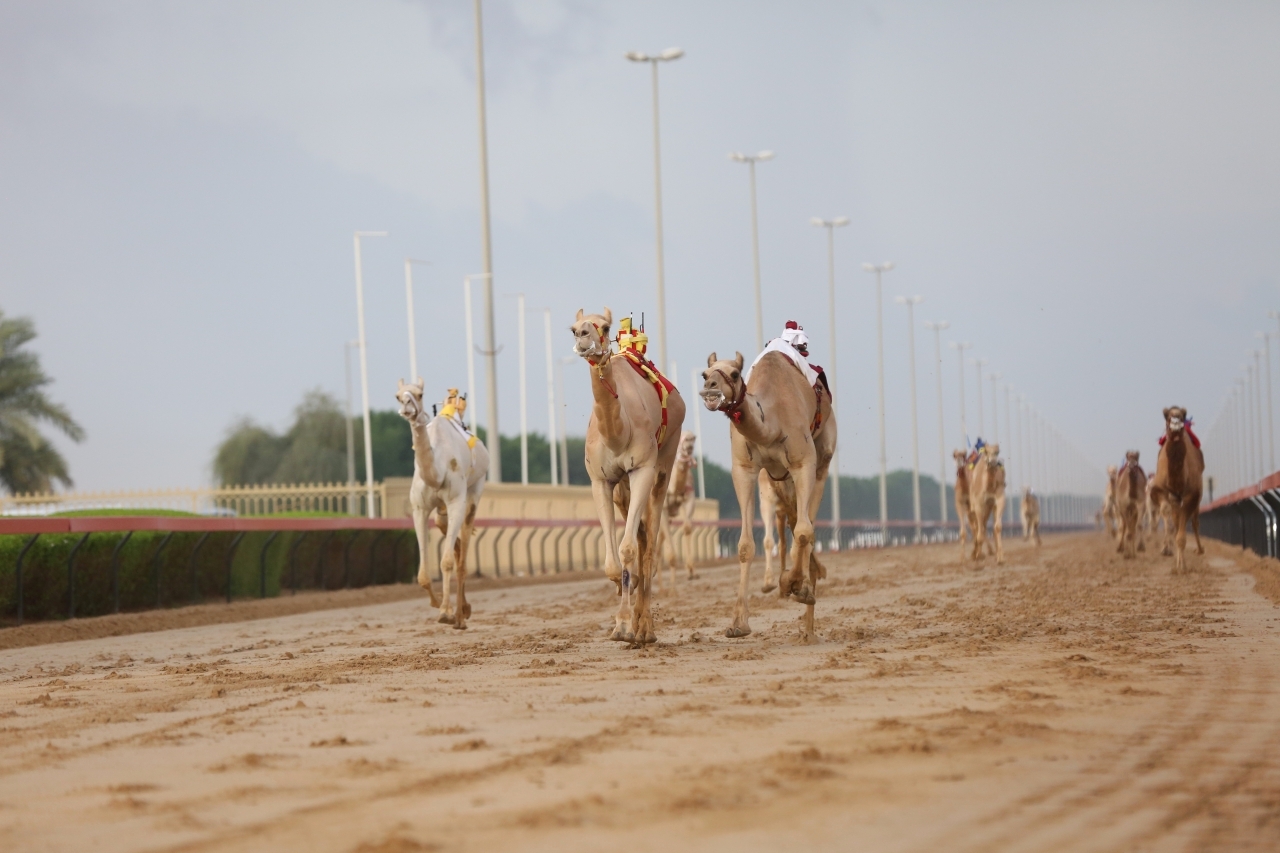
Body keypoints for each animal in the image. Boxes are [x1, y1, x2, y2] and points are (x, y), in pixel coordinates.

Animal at [391, 379, 486, 625]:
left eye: (419, 394)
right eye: (397, 396)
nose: (407, 407)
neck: (437, 471)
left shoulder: (456, 502)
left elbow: (447, 562)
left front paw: (446, 612)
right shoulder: (420, 508)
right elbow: (423, 573)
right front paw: (437, 603)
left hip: (474, 490)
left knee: (462, 556)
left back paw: (461, 615)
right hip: (442, 511)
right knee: (452, 539)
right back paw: (463, 609)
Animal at [573, 308, 686, 640]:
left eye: (605, 326)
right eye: (573, 327)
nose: (582, 336)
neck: (618, 434)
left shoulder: (641, 469)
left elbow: (627, 550)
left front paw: (625, 625)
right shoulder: (601, 480)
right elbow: (613, 561)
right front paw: (624, 612)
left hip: (665, 460)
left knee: (650, 543)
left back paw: (645, 628)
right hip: (622, 488)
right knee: (643, 536)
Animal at [660, 427, 701, 589]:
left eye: (693, 438)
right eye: (682, 438)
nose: (689, 443)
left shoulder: (689, 499)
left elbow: (687, 527)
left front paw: (691, 571)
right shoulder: (663, 508)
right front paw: (672, 581)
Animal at [701, 348, 839, 637]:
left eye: (734, 374)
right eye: (704, 374)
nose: (710, 389)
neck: (770, 424)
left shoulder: (803, 462)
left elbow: (804, 531)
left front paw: (793, 584)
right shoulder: (744, 469)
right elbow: (745, 545)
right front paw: (738, 624)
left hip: (822, 458)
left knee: (806, 524)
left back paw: (806, 600)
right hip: (780, 483)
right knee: (794, 522)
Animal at [1146, 407, 1203, 571]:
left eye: (1183, 416)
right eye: (1166, 416)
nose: (1176, 422)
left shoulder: (1192, 495)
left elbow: (1183, 526)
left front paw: (1182, 567)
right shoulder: (1160, 491)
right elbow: (1169, 516)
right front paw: (1166, 550)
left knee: (1195, 521)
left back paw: (1200, 549)